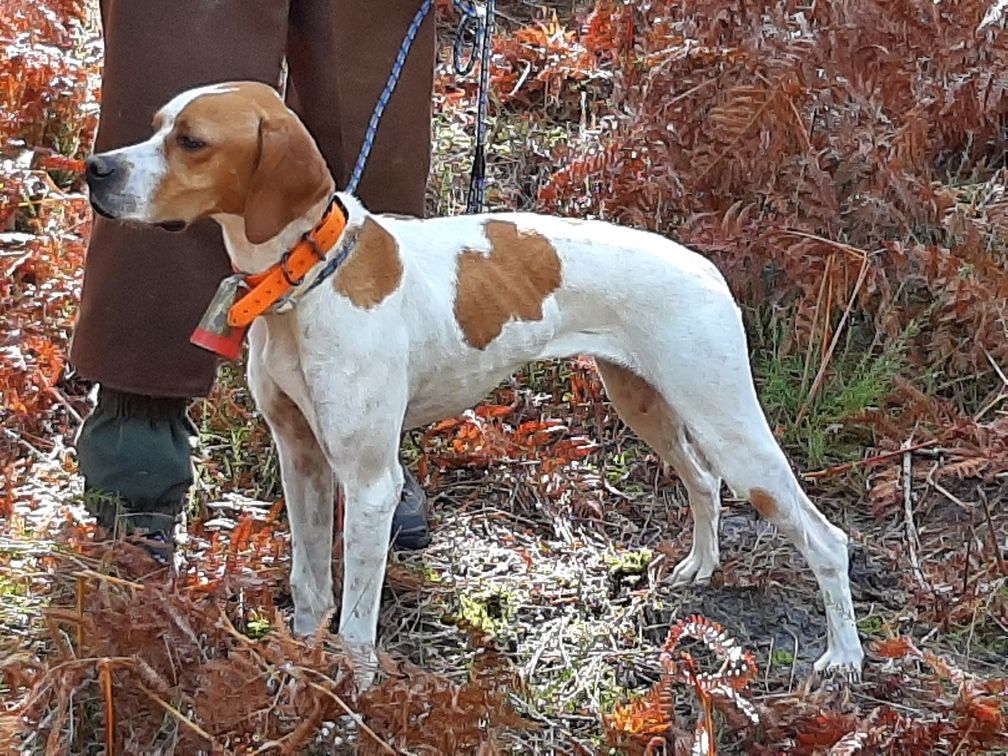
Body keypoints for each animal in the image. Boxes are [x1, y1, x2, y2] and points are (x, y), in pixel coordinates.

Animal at [84, 81, 866, 685]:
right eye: (156, 126)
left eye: (191, 141)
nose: (95, 168)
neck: (305, 281)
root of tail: (703, 267)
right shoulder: (302, 458)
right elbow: (310, 589)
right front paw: (298, 674)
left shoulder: (369, 484)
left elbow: (357, 624)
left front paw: (352, 701)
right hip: (646, 405)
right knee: (701, 482)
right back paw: (701, 567)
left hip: (733, 431)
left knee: (826, 541)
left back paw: (844, 659)